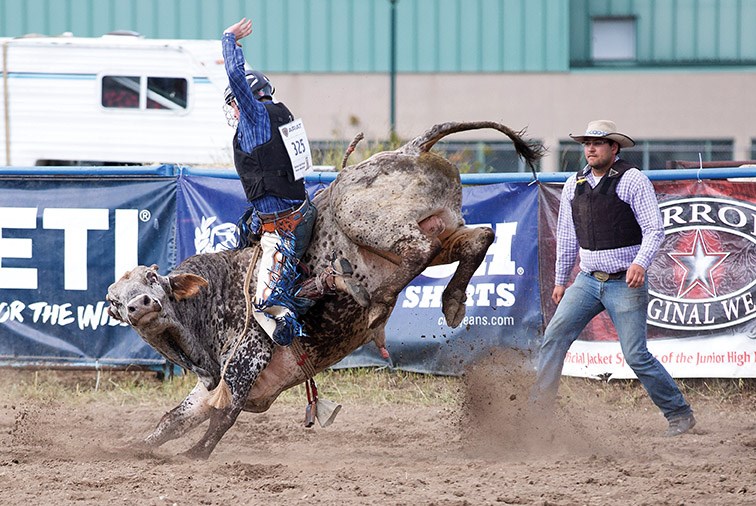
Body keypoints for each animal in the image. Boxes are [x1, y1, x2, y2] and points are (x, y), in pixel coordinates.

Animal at [108, 119, 544, 458]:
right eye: (114, 300)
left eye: (152, 279)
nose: (140, 305)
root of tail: (411, 149)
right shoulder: (210, 384)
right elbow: (173, 419)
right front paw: (131, 448)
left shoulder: (249, 356)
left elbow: (224, 415)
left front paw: (194, 455)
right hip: (443, 227)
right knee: (478, 238)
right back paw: (450, 302)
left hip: (367, 220)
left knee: (417, 251)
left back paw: (369, 299)